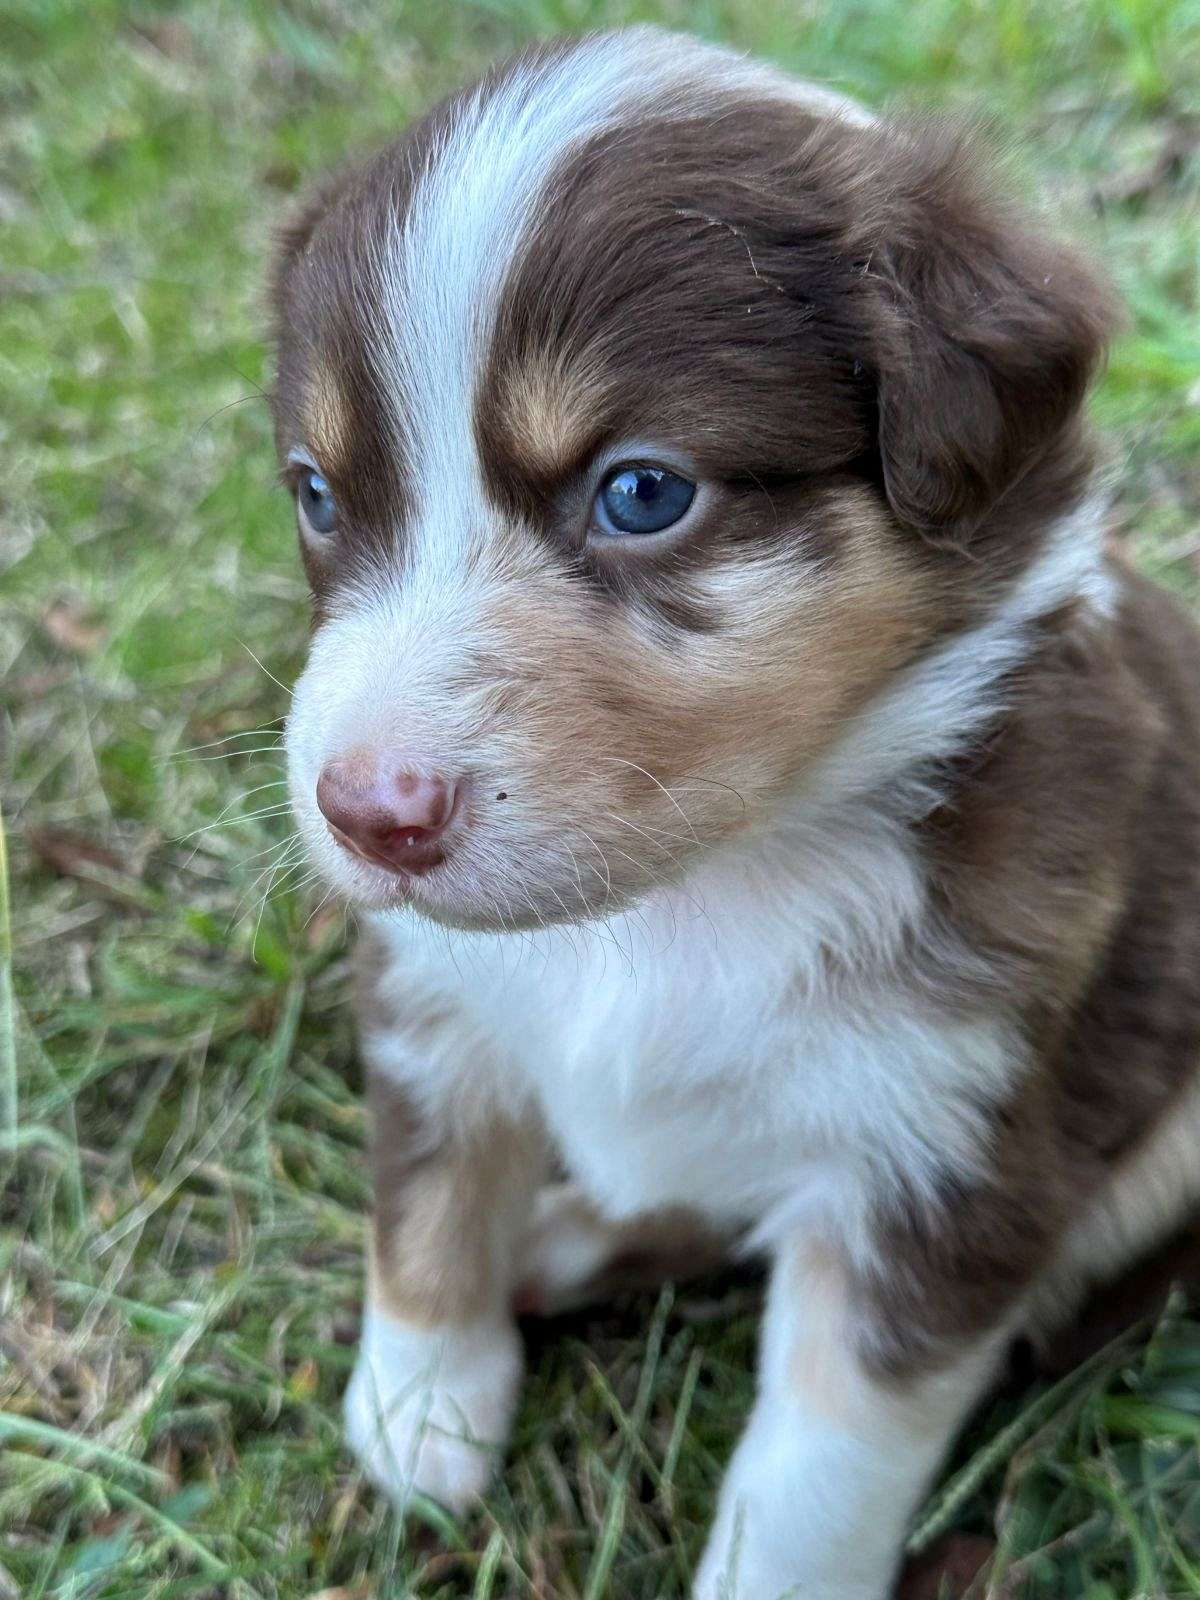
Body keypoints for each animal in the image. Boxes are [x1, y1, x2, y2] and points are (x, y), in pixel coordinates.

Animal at [267, 28, 1200, 1600]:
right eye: (319, 494)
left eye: (643, 492)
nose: (366, 814)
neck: (689, 898)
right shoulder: (435, 1000)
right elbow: (429, 1197)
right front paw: (421, 1404)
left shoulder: (949, 1150)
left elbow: (821, 1461)